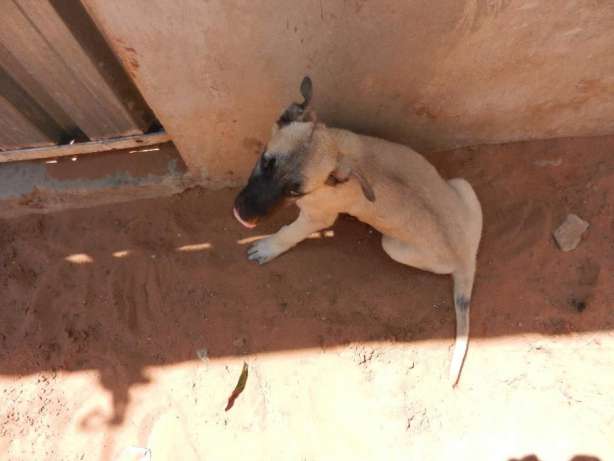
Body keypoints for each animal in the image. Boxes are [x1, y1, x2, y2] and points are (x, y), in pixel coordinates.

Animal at [233, 76, 484, 384]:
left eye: (294, 191)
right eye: (266, 162)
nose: (244, 216)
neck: (337, 150)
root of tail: (466, 260)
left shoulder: (317, 218)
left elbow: (288, 233)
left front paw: (267, 247)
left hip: (391, 246)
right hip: (463, 185)